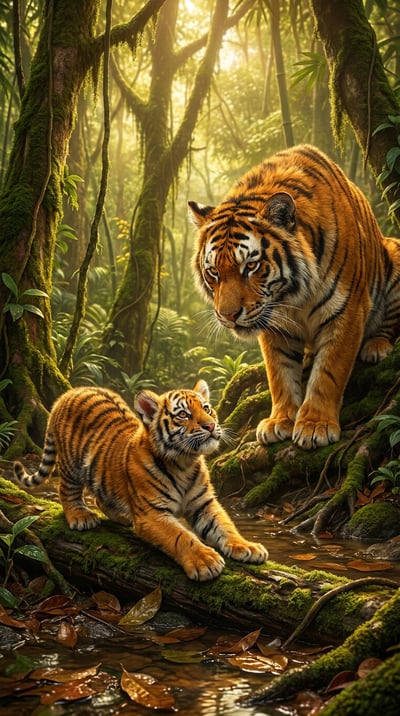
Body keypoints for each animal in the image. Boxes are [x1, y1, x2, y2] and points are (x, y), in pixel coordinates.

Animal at [13, 381, 268, 581]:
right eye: (183, 415)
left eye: (207, 409)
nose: (211, 425)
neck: (185, 462)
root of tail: (71, 392)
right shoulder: (152, 513)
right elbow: (182, 537)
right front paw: (205, 560)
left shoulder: (204, 503)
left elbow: (225, 525)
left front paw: (247, 547)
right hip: (70, 464)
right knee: (66, 490)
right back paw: (80, 516)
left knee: (101, 499)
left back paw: (123, 517)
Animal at [190, 144, 400, 450]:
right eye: (214, 272)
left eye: (250, 266)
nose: (229, 316)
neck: (291, 297)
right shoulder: (273, 324)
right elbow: (280, 374)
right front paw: (280, 421)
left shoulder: (347, 310)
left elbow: (329, 372)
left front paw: (315, 426)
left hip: (394, 250)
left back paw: (376, 346)